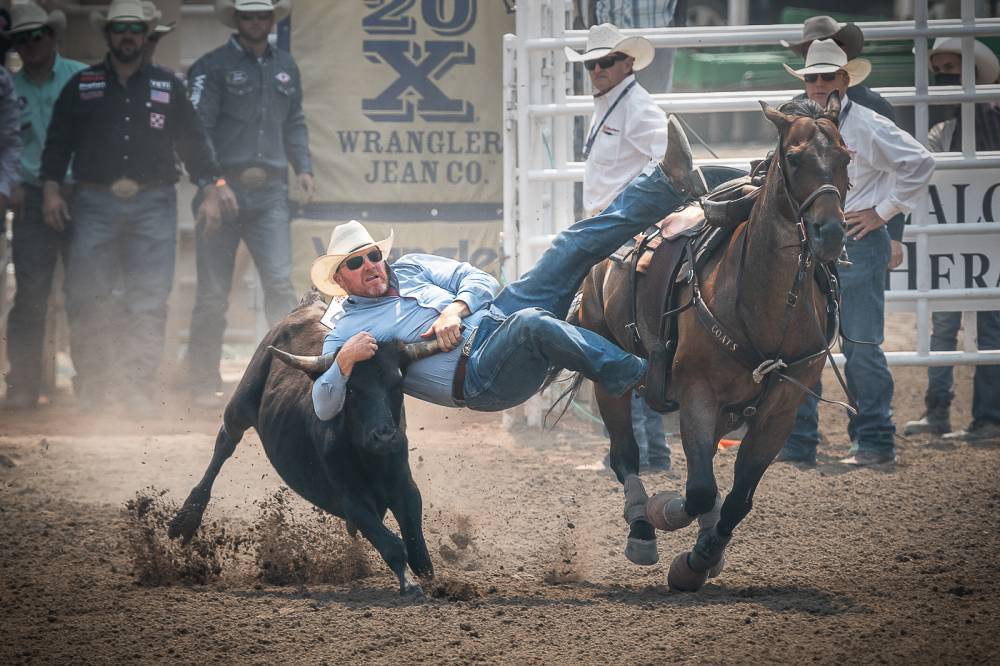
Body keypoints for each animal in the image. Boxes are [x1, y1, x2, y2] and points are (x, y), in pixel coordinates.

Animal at [168, 290, 440, 595]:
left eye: (397, 384)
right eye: (352, 388)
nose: (383, 436)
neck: (369, 457)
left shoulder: (404, 486)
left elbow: (418, 549)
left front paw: (428, 579)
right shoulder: (352, 500)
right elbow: (393, 545)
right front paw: (410, 585)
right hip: (240, 404)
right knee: (224, 443)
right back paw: (186, 518)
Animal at [575, 94, 851, 590]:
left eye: (845, 157)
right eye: (794, 158)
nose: (831, 232)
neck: (763, 306)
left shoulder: (780, 408)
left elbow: (737, 495)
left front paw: (702, 556)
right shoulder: (697, 393)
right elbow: (700, 490)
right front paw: (668, 520)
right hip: (609, 378)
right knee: (625, 456)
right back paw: (641, 526)